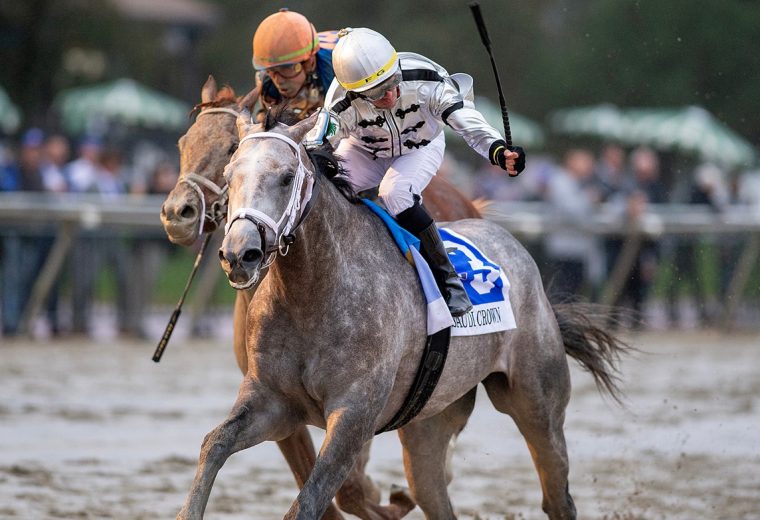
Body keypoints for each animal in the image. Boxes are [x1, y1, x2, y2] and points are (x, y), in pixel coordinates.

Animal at [158, 76, 484, 520]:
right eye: (183, 143)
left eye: (228, 146)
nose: (178, 213)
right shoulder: (273, 400)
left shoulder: (357, 403)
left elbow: (343, 485)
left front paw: (386, 497)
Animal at [177, 110, 628, 520]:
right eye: (230, 174)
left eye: (287, 177)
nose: (240, 254)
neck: (313, 291)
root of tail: (513, 245)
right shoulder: (274, 402)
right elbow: (213, 444)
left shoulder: (353, 416)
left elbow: (308, 502)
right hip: (429, 421)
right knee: (434, 495)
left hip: (536, 404)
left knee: (557, 497)